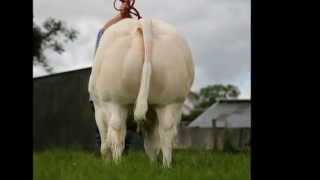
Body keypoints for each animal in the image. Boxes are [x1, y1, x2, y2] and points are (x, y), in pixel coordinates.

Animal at [88, 18, 195, 167]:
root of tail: (144, 22)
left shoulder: (99, 110)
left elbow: (104, 143)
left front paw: (107, 163)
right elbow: (151, 143)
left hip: (114, 100)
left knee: (117, 133)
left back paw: (117, 165)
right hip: (171, 100)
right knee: (166, 134)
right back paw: (165, 166)